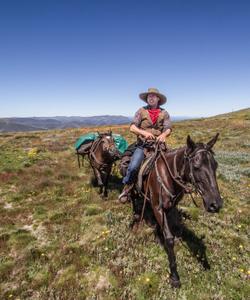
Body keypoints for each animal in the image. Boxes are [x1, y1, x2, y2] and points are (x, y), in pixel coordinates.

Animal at [125, 135, 223, 288]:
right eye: (196, 166)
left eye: (215, 165)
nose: (216, 204)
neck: (168, 176)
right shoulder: (158, 207)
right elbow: (170, 239)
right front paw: (175, 276)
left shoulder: (169, 207)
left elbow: (167, 228)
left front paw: (159, 235)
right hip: (133, 187)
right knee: (135, 200)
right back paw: (134, 220)